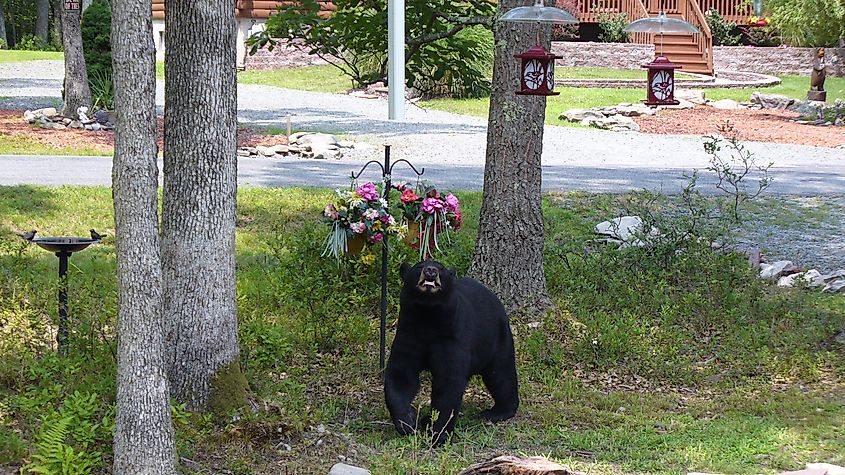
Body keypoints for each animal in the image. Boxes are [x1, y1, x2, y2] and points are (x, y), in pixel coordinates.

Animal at [384, 260, 519, 446]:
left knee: (501, 375)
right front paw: (407, 422)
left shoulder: (452, 336)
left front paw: (438, 434)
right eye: (419, 266)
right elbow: (401, 374)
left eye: (441, 268)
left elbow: (448, 380)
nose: (431, 270)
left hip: (496, 338)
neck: (427, 315)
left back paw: (498, 412)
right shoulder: (408, 333)